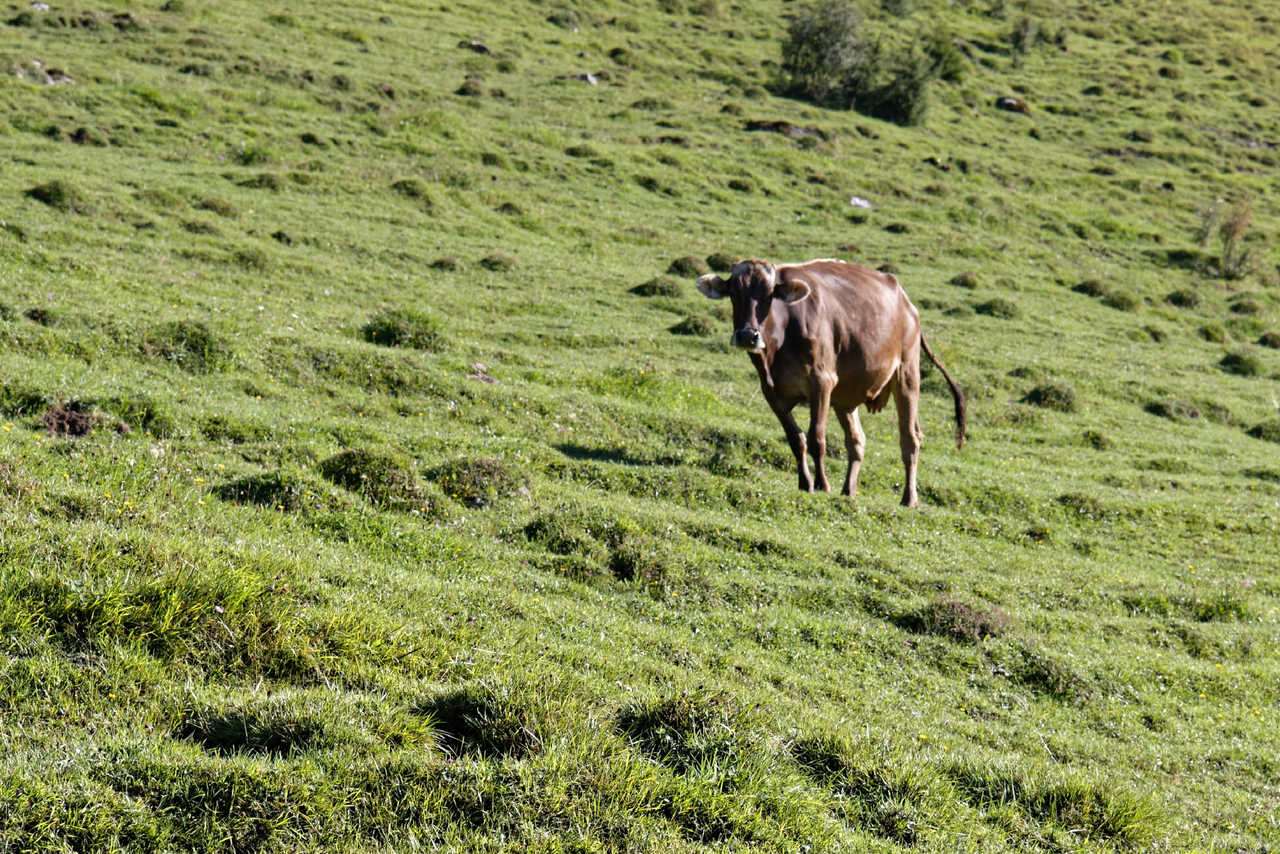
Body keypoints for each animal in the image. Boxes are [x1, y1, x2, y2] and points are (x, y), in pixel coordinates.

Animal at [696, 258, 965, 507]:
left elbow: (817, 438)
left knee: (910, 440)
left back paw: (909, 498)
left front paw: (821, 484)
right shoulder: (772, 393)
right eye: (734, 293)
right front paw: (805, 483)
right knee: (857, 441)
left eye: (769, 294)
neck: (777, 348)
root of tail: (908, 305)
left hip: (907, 375)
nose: (747, 335)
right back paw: (849, 490)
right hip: (846, 397)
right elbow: (796, 439)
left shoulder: (821, 382)